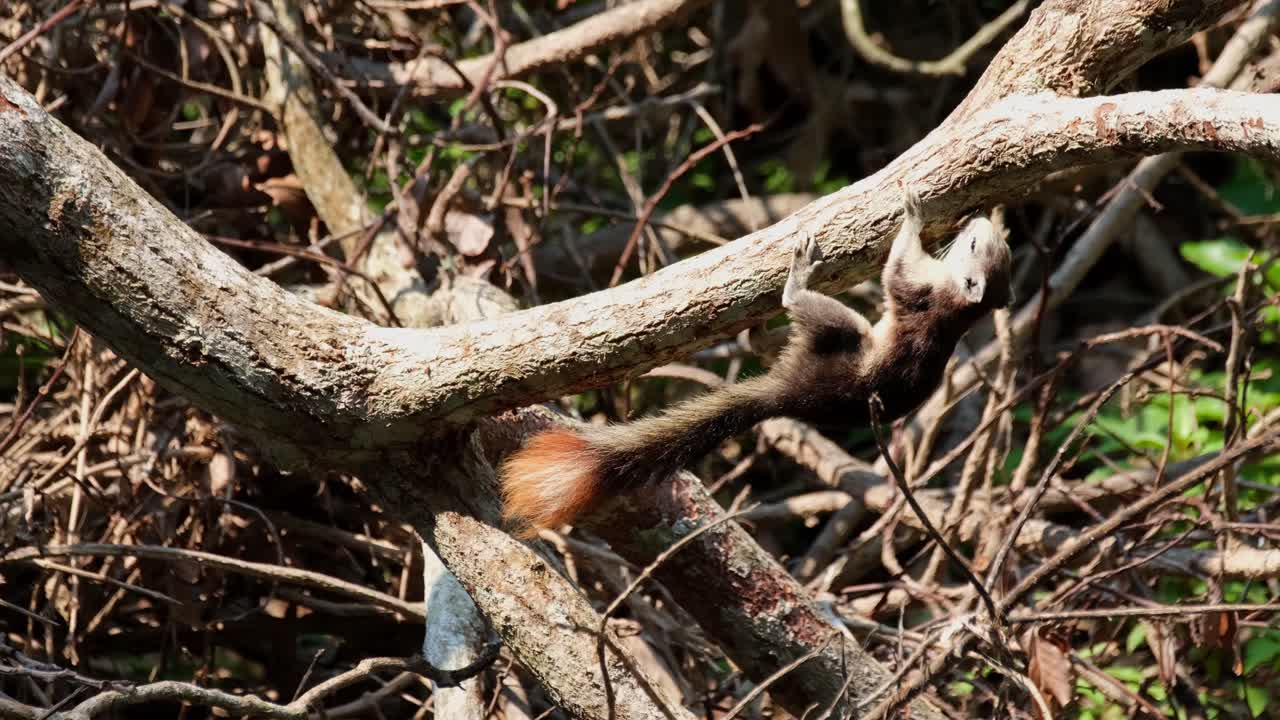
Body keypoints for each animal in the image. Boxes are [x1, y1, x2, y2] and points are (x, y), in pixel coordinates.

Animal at [500, 188, 1013, 534]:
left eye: (975, 249)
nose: (979, 220)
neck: (958, 307)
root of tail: (788, 395)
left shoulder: (917, 292)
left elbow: (896, 269)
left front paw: (913, 212)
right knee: (772, 342)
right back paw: (757, 330)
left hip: (840, 335)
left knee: (805, 309)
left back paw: (795, 280)